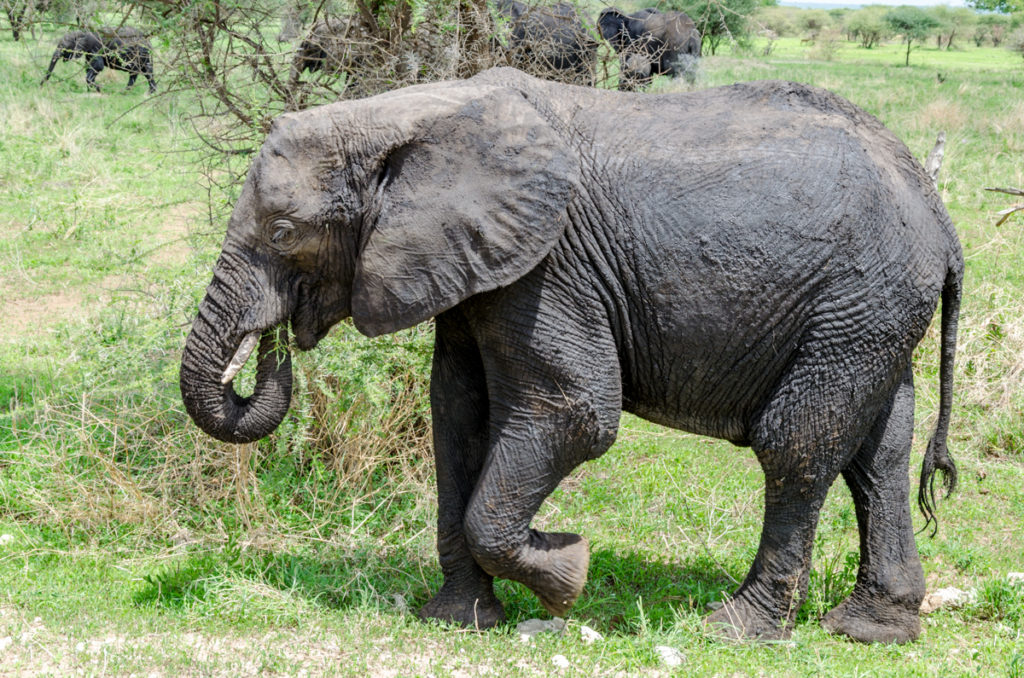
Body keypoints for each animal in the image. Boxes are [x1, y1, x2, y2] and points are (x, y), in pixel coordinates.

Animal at [180, 69, 962, 647]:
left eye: (285, 232)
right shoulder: (475, 264)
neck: (402, 117)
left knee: (796, 445)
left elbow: (575, 413)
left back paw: (736, 630)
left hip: (859, 299)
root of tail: (936, 208)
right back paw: (871, 630)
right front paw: (460, 619)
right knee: (878, 453)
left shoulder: (550, 267)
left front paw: (569, 570)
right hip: (874, 312)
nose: (275, 338)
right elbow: (457, 417)